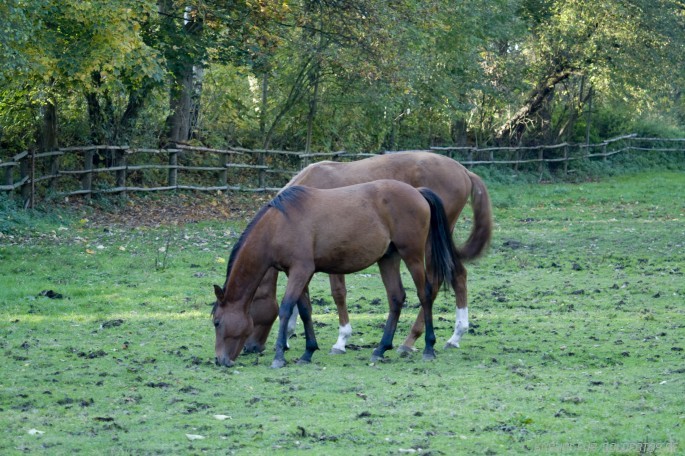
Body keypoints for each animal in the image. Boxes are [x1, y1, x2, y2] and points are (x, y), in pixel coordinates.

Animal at [211, 179, 460, 368]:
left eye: (216, 322)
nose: (220, 360)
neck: (278, 225)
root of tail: (417, 192)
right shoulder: (300, 273)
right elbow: (305, 310)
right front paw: (308, 352)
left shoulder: (300, 270)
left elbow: (286, 308)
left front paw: (279, 356)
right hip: (388, 259)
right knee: (396, 298)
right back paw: (380, 349)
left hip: (412, 255)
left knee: (425, 294)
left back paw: (428, 347)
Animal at [243, 152, 492, 355]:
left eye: (250, 306)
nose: (248, 347)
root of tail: (464, 171)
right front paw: (288, 337)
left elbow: (338, 294)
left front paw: (341, 340)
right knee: (458, 274)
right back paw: (455, 336)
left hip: (429, 242)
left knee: (435, 282)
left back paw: (411, 341)